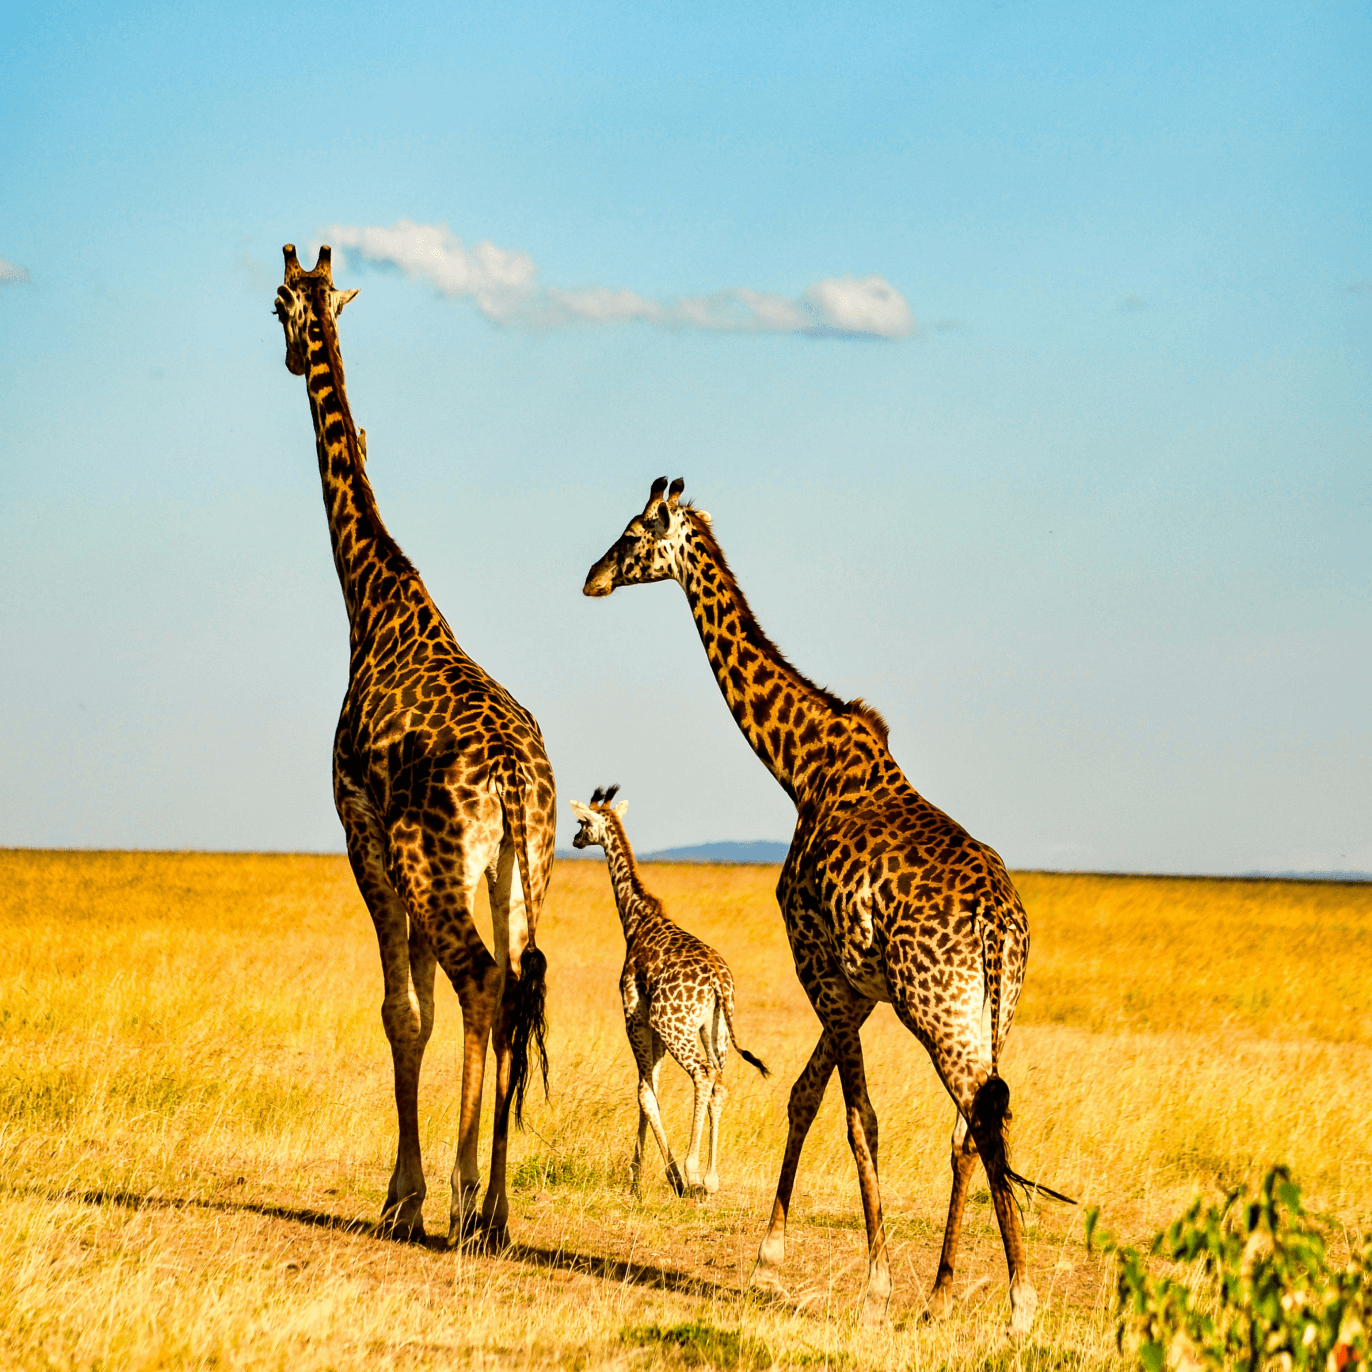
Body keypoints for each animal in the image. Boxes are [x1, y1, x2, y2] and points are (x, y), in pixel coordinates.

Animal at [270, 244, 554, 1245]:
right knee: (518, 989)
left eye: (275, 305)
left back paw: (469, 1200)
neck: (374, 600)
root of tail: (513, 782)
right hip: (520, 871)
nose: (289, 354)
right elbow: (423, 1011)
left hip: (435, 866)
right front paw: (418, 1190)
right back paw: (499, 1206)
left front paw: (404, 1196)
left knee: (485, 984)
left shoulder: (364, 837)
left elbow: (402, 1011)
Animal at [562, 790, 768, 1196]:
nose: (574, 841)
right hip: (715, 1030)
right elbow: (651, 1088)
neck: (637, 920)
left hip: (675, 1026)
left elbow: (644, 1092)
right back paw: (711, 1179)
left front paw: (658, 1175)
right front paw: (637, 1175)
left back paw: (691, 1171)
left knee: (703, 1074)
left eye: (582, 823)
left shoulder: (636, 1017)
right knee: (719, 1083)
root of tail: (719, 981)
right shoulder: (652, 1027)